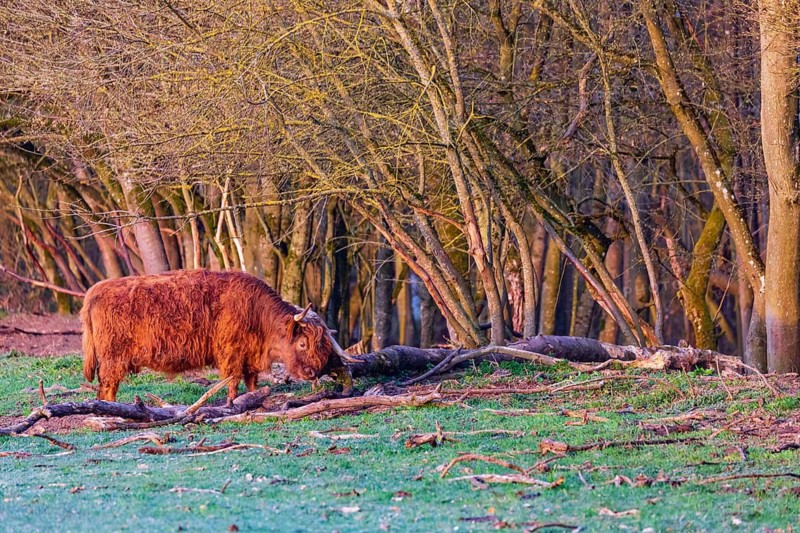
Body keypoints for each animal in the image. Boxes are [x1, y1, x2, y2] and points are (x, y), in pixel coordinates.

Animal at [81, 269, 350, 403]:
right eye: (303, 343)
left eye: (322, 345)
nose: (312, 372)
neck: (258, 315)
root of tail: (96, 289)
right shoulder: (231, 352)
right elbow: (232, 379)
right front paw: (232, 402)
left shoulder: (249, 356)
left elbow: (251, 380)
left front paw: (253, 396)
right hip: (113, 358)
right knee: (108, 387)